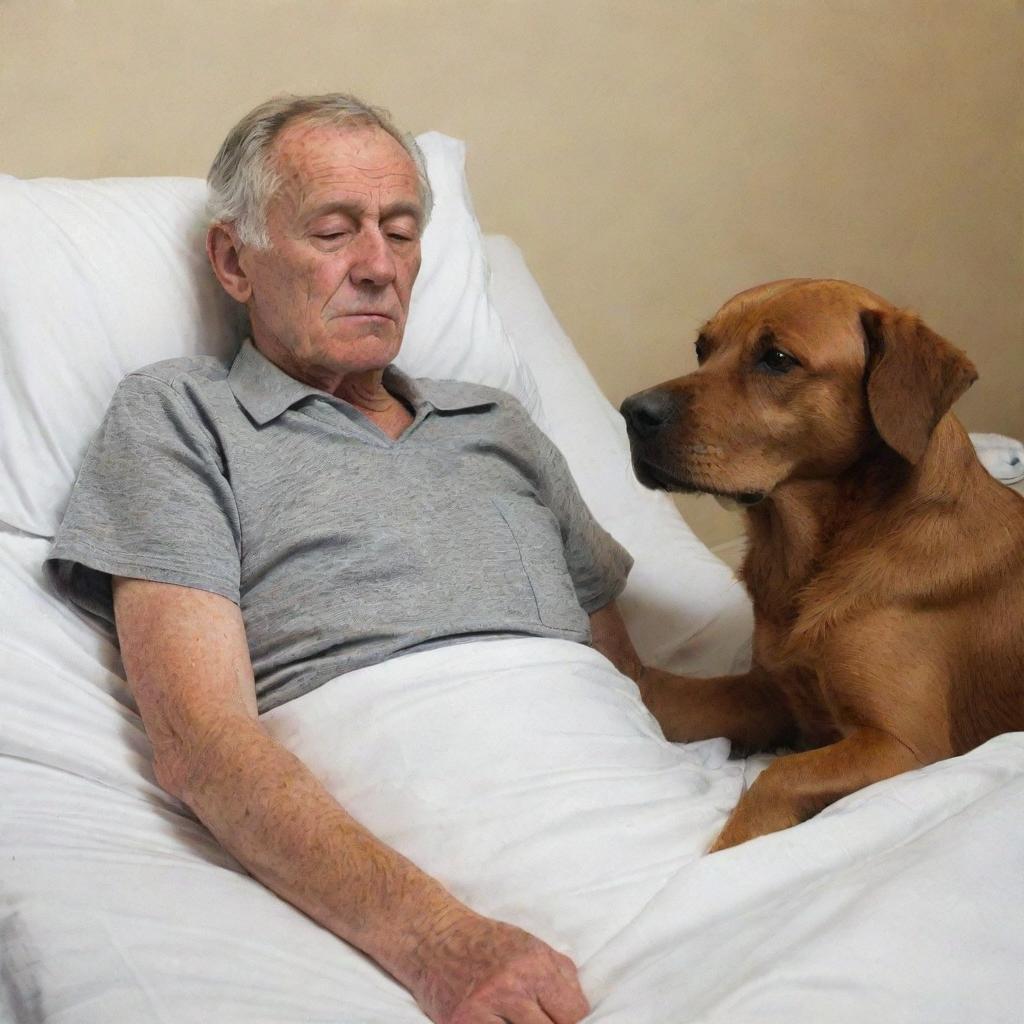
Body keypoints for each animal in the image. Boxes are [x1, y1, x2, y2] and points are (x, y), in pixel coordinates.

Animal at [618, 278, 1024, 847]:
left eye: (777, 359)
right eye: (702, 348)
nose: (633, 412)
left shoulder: (905, 746)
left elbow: (779, 774)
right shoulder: (773, 693)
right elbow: (665, 694)